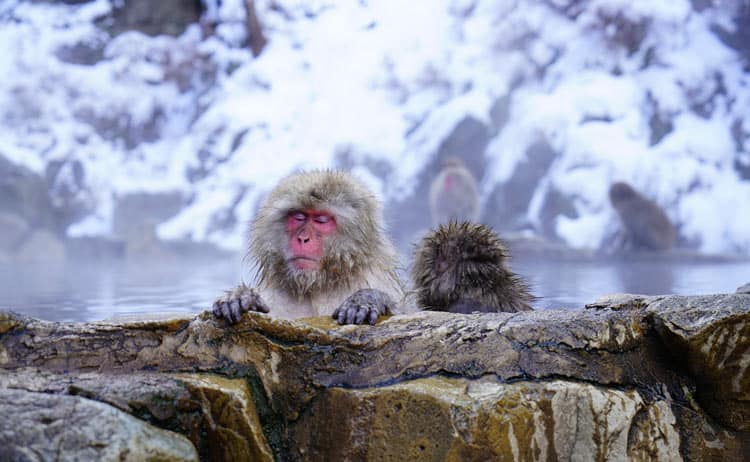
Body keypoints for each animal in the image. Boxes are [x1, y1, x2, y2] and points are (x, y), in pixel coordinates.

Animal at [212, 170, 406, 324]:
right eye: (299, 217)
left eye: (321, 219)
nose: (303, 238)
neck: (318, 285)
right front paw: (242, 297)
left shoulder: (376, 278)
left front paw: (366, 300)